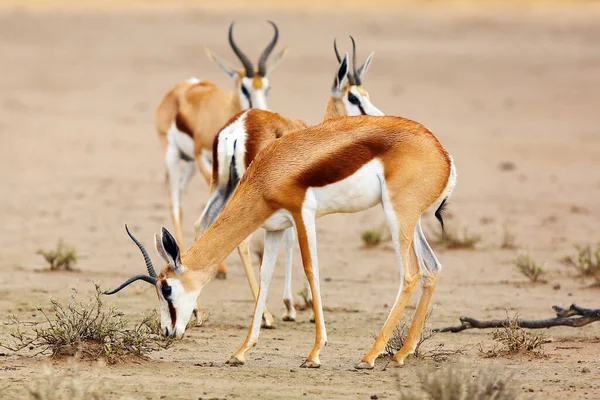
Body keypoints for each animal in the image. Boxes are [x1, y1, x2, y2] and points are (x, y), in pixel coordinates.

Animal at [105, 113, 458, 368]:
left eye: (166, 288)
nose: (168, 331)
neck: (268, 174)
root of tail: (442, 153)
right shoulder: (274, 228)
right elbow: (265, 278)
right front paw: (241, 352)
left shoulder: (303, 214)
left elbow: (311, 271)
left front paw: (314, 354)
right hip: (412, 221)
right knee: (432, 268)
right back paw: (401, 354)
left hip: (397, 215)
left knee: (410, 273)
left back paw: (370, 357)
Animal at [154, 21, 288, 248]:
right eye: (244, 87)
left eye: (267, 87)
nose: (263, 111)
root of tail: (183, 85)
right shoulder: (203, 158)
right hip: (173, 155)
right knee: (174, 203)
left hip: (190, 164)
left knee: (181, 195)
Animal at [193, 38, 384, 324]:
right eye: (353, 97)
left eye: (366, 93)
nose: (379, 116)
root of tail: (238, 126)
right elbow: (292, 242)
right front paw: (292, 308)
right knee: (243, 241)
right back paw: (266, 316)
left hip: (222, 186)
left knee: (201, 225)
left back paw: (197, 312)